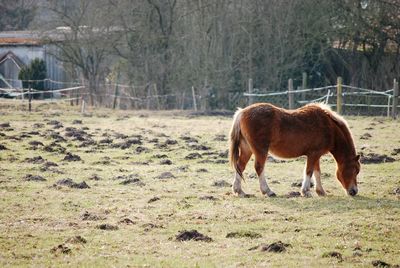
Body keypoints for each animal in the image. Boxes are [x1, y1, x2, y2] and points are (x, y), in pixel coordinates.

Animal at [228, 102, 362, 197]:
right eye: (355, 170)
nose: (354, 191)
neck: (329, 127)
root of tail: (242, 112)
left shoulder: (316, 155)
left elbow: (317, 172)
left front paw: (320, 191)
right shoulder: (313, 154)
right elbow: (309, 171)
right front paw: (305, 191)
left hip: (247, 149)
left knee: (240, 166)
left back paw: (239, 191)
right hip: (260, 150)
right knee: (259, 168)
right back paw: (268, 191)